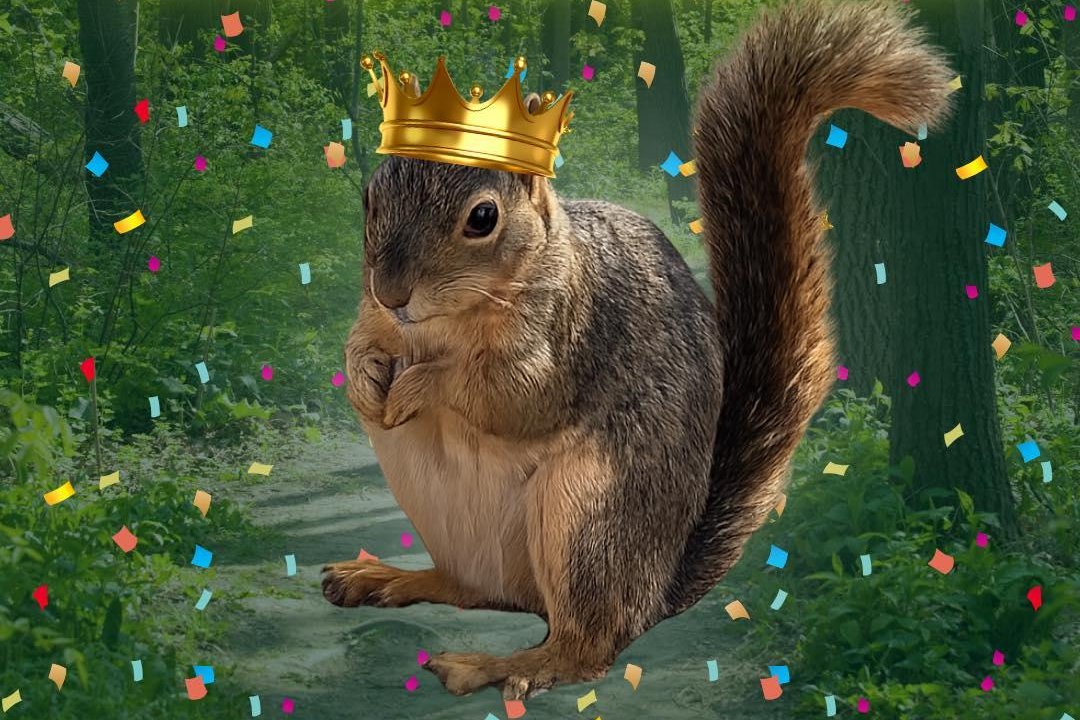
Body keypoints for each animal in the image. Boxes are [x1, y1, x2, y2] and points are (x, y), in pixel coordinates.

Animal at [322, 0, 953, 701]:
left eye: (482, 218)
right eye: (369, 197)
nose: (392, 290)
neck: (441, 325)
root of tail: (658, 586)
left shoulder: (568, 338)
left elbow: (508, 395)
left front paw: (417, 385)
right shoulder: (377, 319)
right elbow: (360, 343)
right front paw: (365, 382)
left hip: (591, 517)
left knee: (585, 646)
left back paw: (502, 665)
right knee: (473, 589)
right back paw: (385, 577)